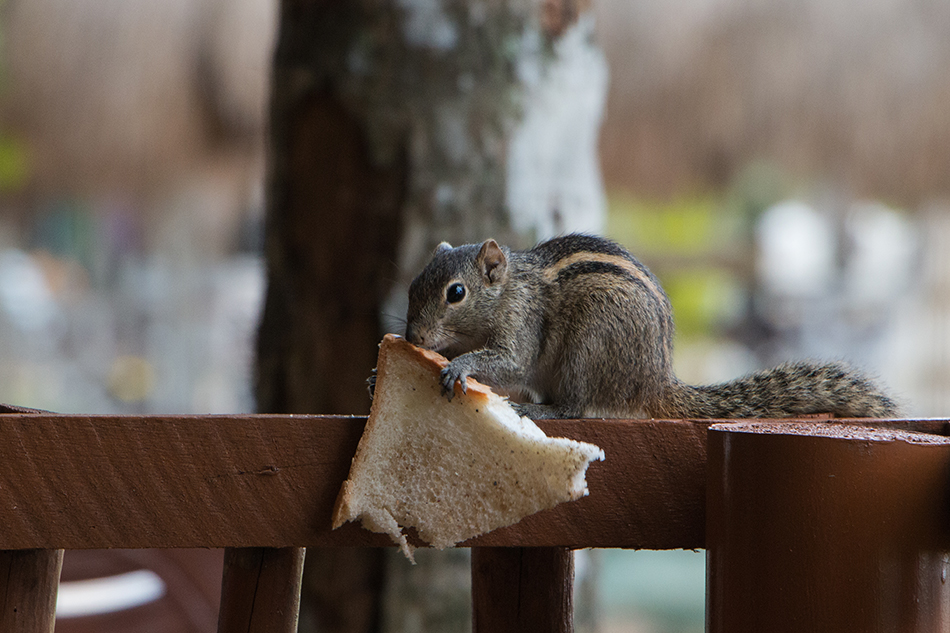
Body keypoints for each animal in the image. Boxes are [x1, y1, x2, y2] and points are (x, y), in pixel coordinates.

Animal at [406, 233, 904, 420]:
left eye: (456, 293)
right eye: (412, 285)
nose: (414, 337)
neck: (509, 290)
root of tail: (655, 382)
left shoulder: (522, 326)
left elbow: (509, 363)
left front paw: (460, 366)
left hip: (590, 347)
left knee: (577, 408)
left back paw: (545, 411)